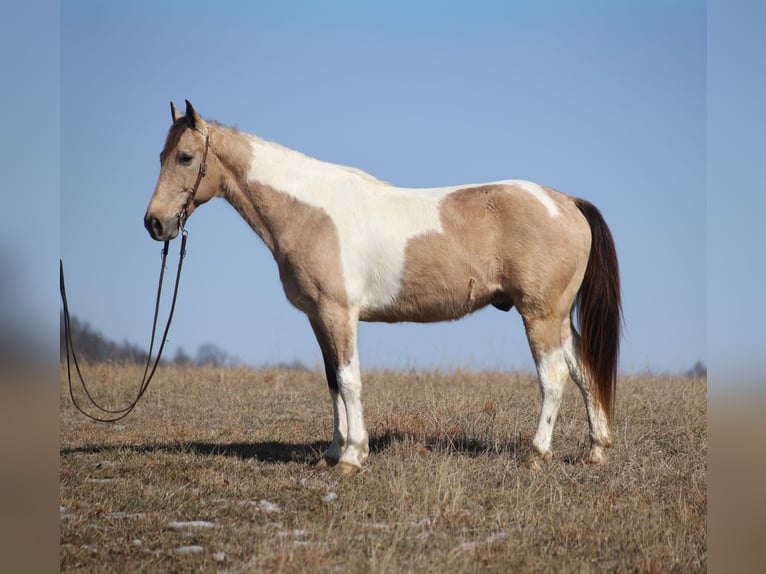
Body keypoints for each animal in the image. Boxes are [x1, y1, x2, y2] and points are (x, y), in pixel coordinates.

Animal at [144, 100, 621, 473]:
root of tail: (566, 202)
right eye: (161, 155)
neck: (310, 210)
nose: (155, 223)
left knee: (554, 377)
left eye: (185, 157)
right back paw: (597, 450)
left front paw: (353, 456)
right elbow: (332, 381)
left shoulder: (339, 312)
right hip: (557, 318)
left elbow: (349, 379)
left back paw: (536, 454)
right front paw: (332, 451)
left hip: (539, 315)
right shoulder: (318, 318)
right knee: (582, 370)